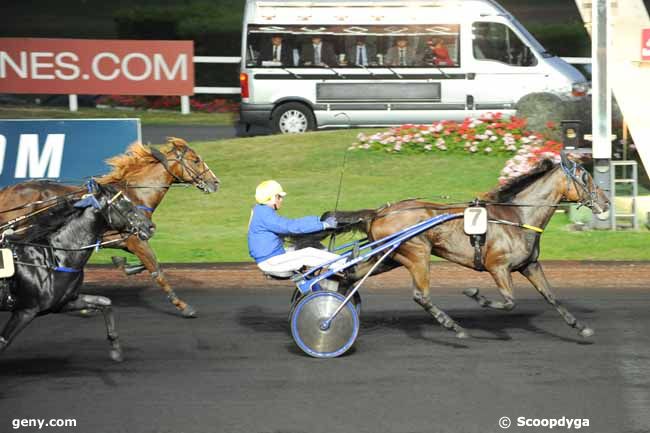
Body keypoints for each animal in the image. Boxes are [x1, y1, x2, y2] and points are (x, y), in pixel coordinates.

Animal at [0, 138, 219, 318]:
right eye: (196, 160)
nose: (215, 182)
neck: (135, 196)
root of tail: (7, 190)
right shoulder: (136, 239)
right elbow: (157, 269)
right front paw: (183, 306)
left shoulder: (127, 240)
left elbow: (145, 265)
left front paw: (124, 265)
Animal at [0, 181, 154, 360]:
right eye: (123, 203)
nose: (150, 226)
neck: (54, 256)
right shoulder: (25, 311)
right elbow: (3, 341)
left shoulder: (63, 303)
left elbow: (104, 302)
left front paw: (115, 347)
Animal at [302, 157, 604, 340]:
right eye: (585, 177)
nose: (604, 201)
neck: (517, 217)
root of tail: (380, 212)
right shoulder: (498, 267)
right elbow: (509, 302)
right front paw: (475, 295)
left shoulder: (529, 265)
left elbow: (552, 297)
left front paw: (580, 326)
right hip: (417, 253)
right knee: (420, 295)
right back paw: (454, 327)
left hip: (389, 257)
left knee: (349, 275)